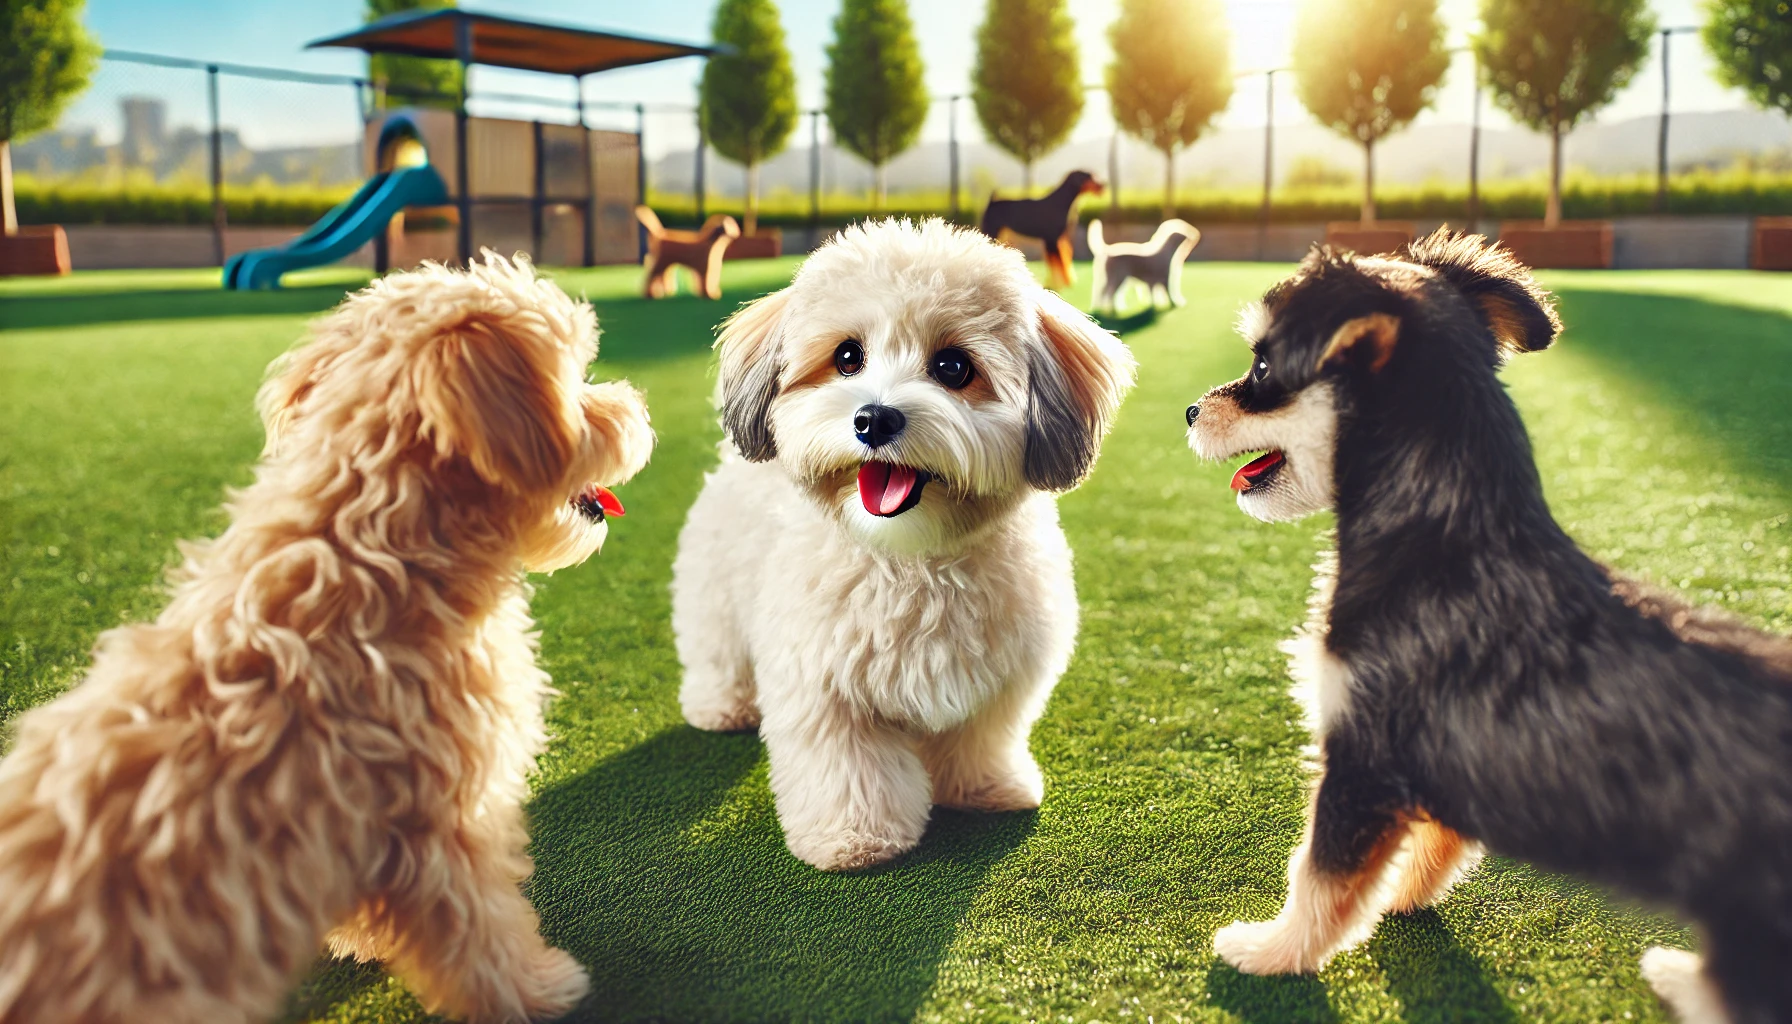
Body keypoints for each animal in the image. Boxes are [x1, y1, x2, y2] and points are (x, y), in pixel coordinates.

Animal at [0, 251, 655, 1024]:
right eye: (576, 376)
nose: (641, 411)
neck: (370, 554)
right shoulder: (440, 823)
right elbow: (479, 928)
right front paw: (535, 990)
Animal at [673, 218, 1132, 875]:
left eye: (954, 366)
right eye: (847, 356)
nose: (874, 418)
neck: (914, 559)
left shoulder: (999, 679)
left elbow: (979, 738)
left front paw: (983, 788)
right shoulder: (825, 686)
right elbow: (848, 770)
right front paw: (854, 837)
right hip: (715, 591)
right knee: (718, 652)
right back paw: (720, 707)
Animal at [1189, 233, 1792, 1024]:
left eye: (1262, 367)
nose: (1189, 410)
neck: (1443, 541)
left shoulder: (1362, 761)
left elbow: (1320, 876)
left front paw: (1273, 953)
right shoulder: (1427, 776)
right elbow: (1431, 848)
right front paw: (1399, 900)